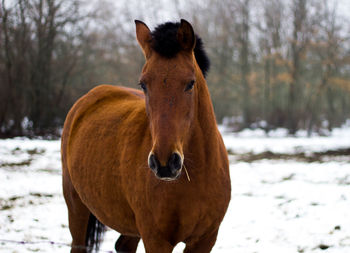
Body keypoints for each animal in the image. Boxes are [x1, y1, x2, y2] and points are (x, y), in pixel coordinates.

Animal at [61, 19, 231, 253]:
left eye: (190, 83)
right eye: (143, 84)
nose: (164, 163)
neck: (196, 177)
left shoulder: (205, 239)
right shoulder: (155, 239)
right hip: (76, 207)